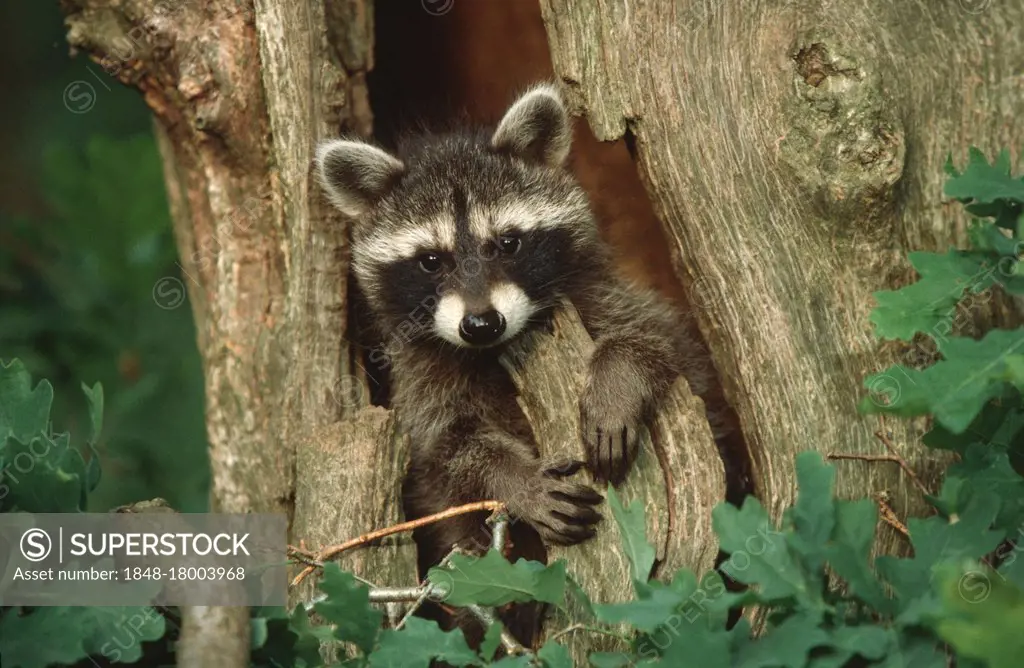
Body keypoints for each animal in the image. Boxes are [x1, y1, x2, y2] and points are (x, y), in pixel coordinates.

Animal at [315, 83, 716, 651]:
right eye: (431, 260)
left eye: (507, 243)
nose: (481, 324)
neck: (492, 350)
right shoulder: (420, 370)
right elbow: (448, 447)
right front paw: (516, 479)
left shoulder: (600, 296)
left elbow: (668, 345)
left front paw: (618, 379)